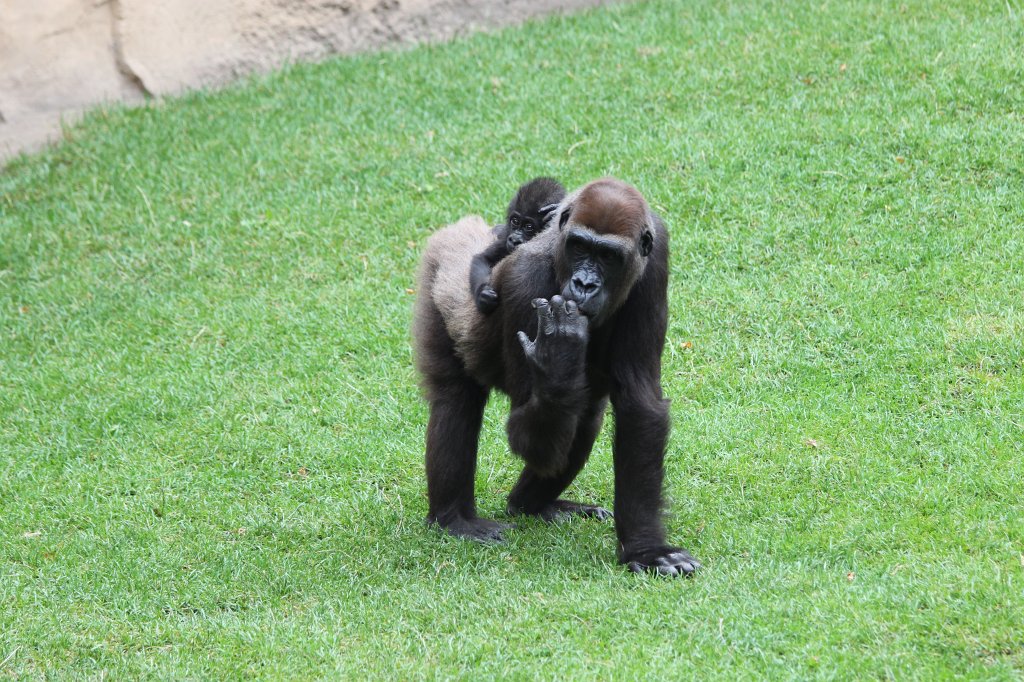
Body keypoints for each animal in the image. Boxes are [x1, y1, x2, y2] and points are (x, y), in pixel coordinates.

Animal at [469, 177, 566, 314]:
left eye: (529, 227)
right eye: (515, 221)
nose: (514, 240)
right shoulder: (505, 240)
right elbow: (483, 258)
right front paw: (482, 295)